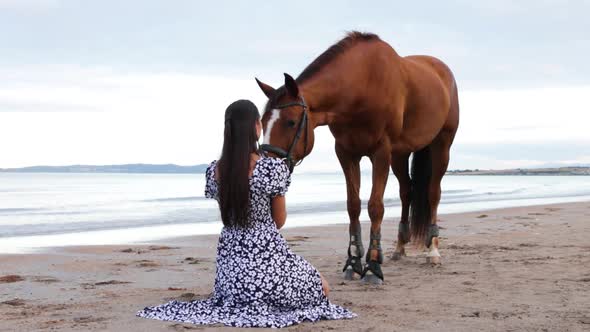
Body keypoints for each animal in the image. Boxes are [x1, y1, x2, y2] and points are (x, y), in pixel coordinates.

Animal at [256, 32, 460, 284]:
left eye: (291, 122)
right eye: (263, 122)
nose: (266, 167)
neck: (362, 87)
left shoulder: (381, 152)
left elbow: (375, 207)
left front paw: (372, 265)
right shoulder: (346, 153)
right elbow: (353, 205)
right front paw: (353, 262)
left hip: (441, 146)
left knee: (433, 193)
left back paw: (432, 250)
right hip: (400, 155)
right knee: (407, 192)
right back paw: (400, 247)